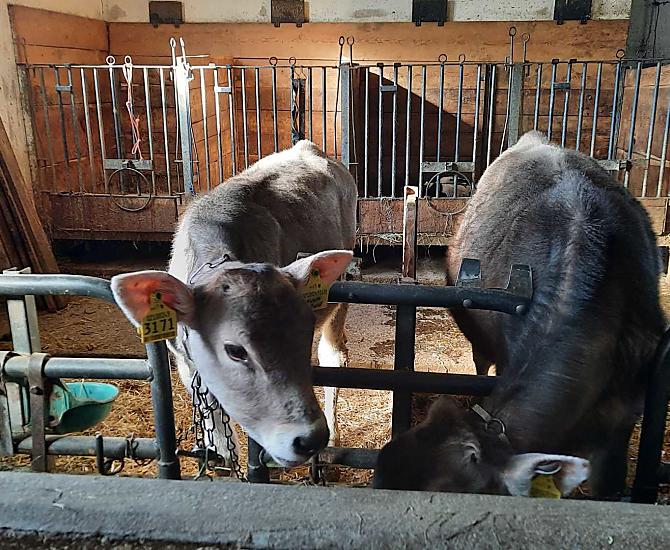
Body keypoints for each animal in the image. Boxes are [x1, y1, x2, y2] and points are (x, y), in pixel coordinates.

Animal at [111, 140, 357, 468]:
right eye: (235, 350)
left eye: (304, 334)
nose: (310, 439)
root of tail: (307, 146)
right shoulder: (184, 362)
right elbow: (214, 423)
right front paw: (221, 456)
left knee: (333, 354)